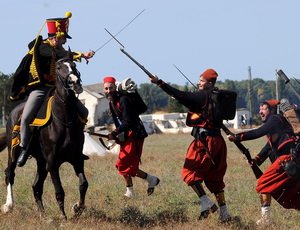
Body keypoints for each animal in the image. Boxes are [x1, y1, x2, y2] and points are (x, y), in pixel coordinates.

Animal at [0, 58, 88, 219]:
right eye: (59, 67)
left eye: (74, 66)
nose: (74, 82)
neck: (64, 120)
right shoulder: (52, 163)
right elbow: (59, 191)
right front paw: (63, 217)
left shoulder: (77, 159)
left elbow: (84, 184)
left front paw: (77, 208)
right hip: (13, 152)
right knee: (10, 173)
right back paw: (8, 205)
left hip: (41, 162)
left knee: (36, 186)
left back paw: (44, 216)